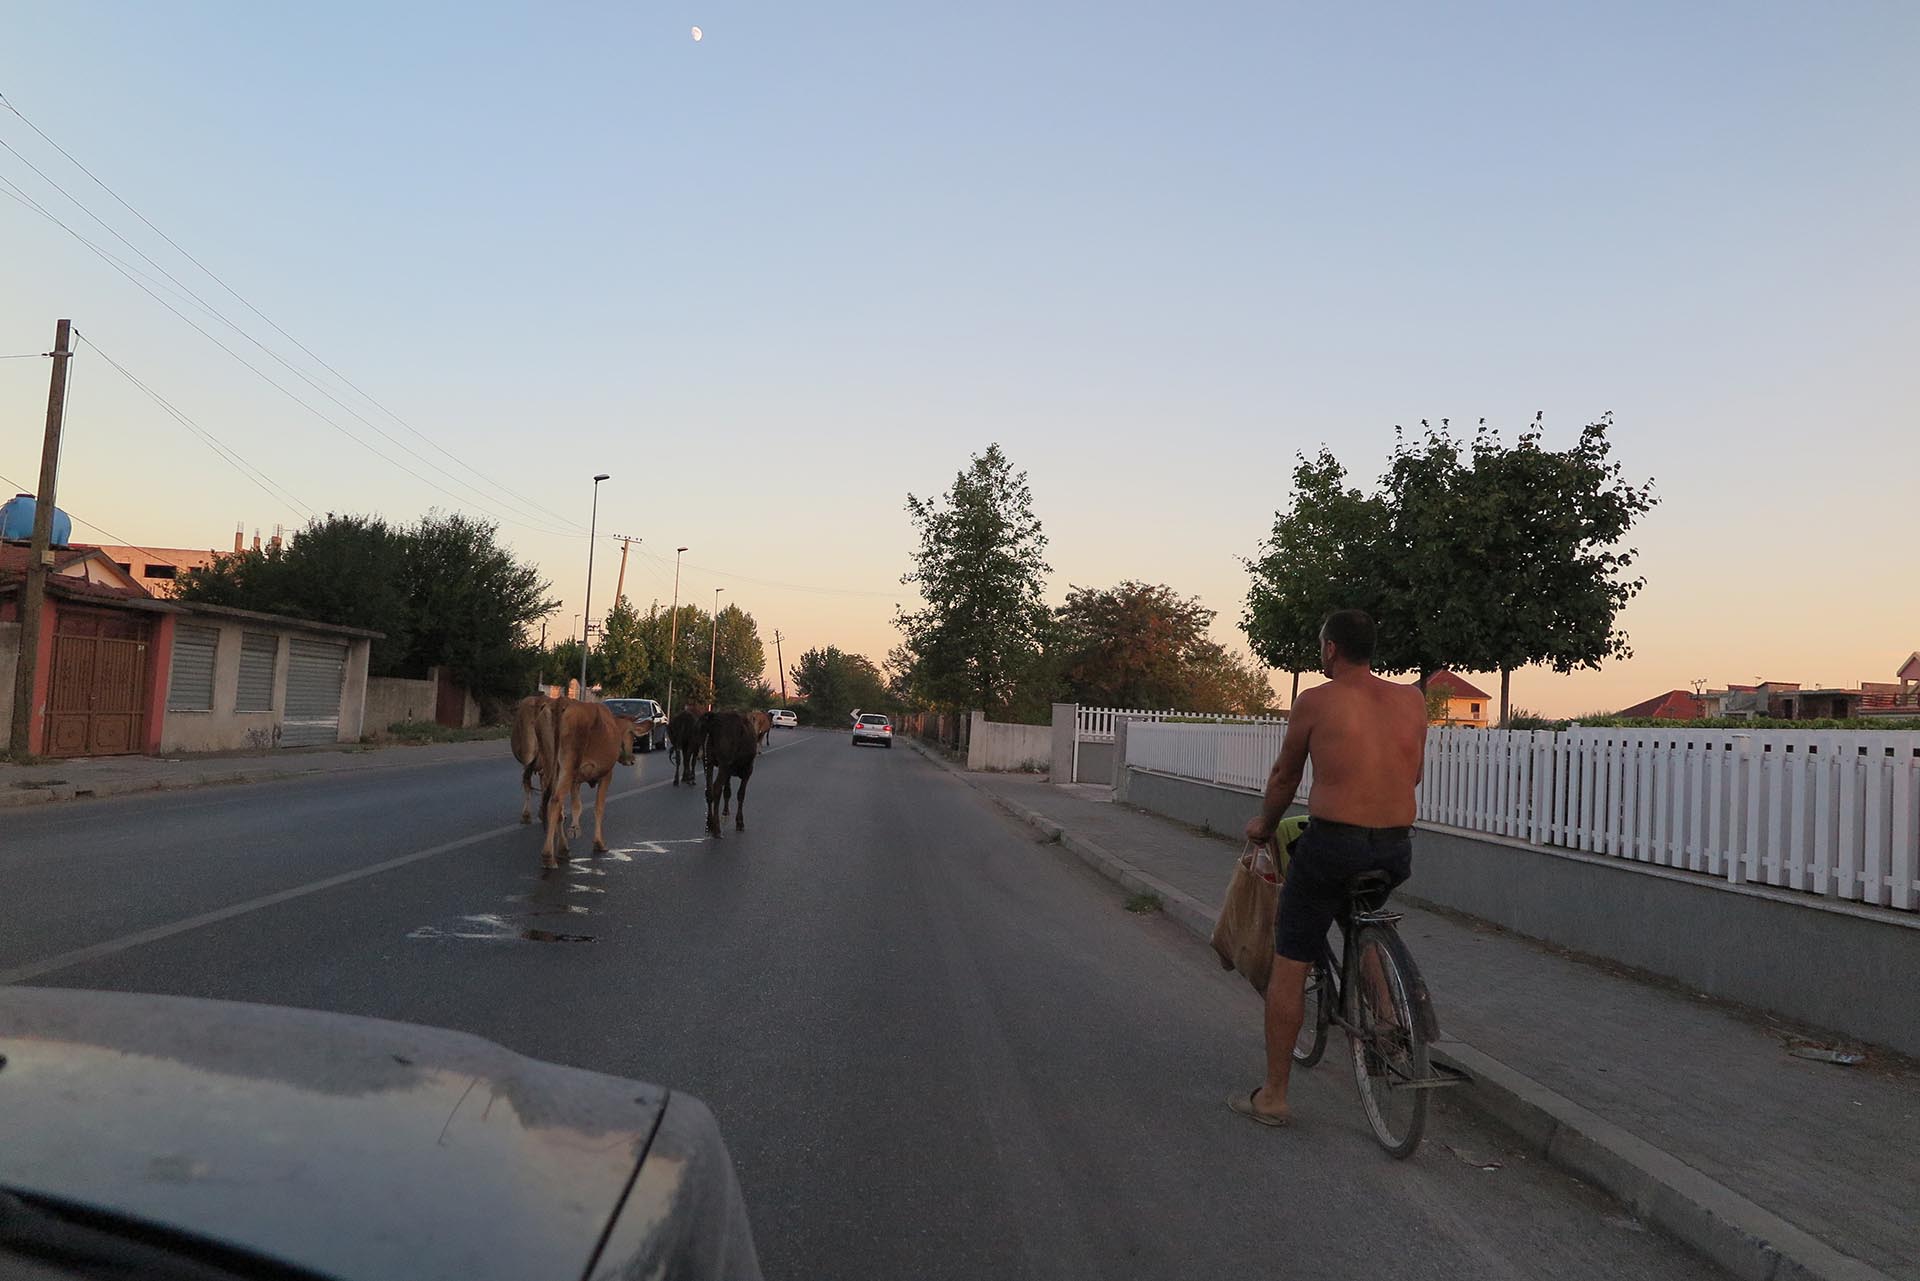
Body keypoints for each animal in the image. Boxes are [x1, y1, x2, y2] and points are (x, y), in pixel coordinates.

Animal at [535, 698, 640, 869]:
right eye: (632, 734)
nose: (632, 759)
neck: (613, 725)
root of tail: (559, 702)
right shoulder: (606, 774)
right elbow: (599, 807)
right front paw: (599, 843)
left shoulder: (576, 779)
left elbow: (576, 805)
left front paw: (575, 829)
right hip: (568, 765)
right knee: (556, 800)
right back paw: (548, 856)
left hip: (550, 763)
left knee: (556, 804)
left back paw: (562, 849)